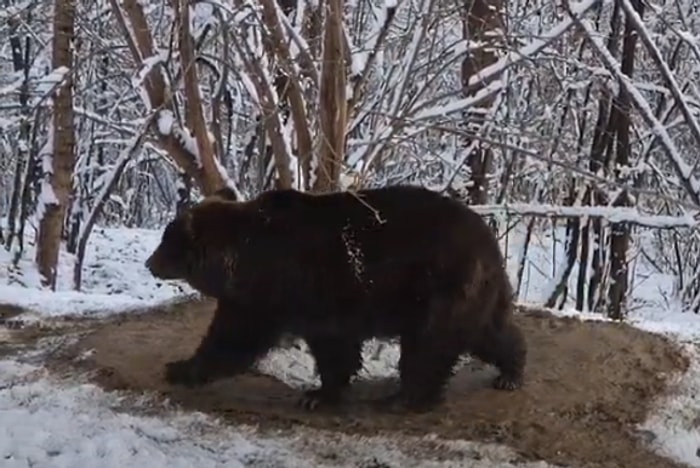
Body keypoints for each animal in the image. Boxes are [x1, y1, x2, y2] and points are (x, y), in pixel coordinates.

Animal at [146, 186, 524, 414]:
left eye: (167, 240)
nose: (150, 263)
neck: (241, 259)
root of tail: (489, 238)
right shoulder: (266, 297)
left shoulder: (291, 291)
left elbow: (239, 337)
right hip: (472, 291)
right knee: (488, 332)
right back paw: (511, 371)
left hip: (440, 285)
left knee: (431, 342)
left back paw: (403, 397)